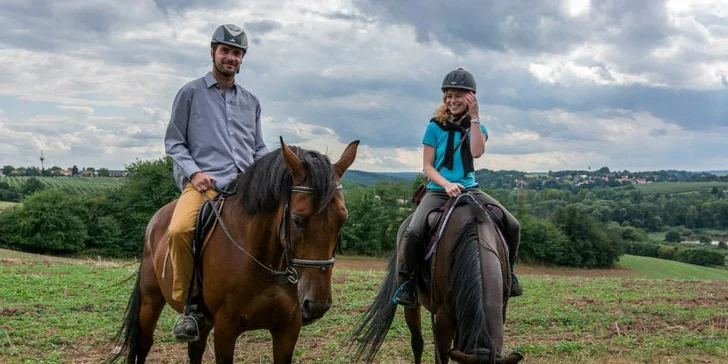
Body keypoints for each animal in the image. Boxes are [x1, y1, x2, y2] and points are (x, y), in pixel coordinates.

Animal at [110, 138, 358, 362]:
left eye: (343, 219)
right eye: (297, 219)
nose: (317, 305)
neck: (265, 264)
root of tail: (156, 219)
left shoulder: (288, 329)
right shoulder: (226, 329)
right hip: (151, 300)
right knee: (143, 346)